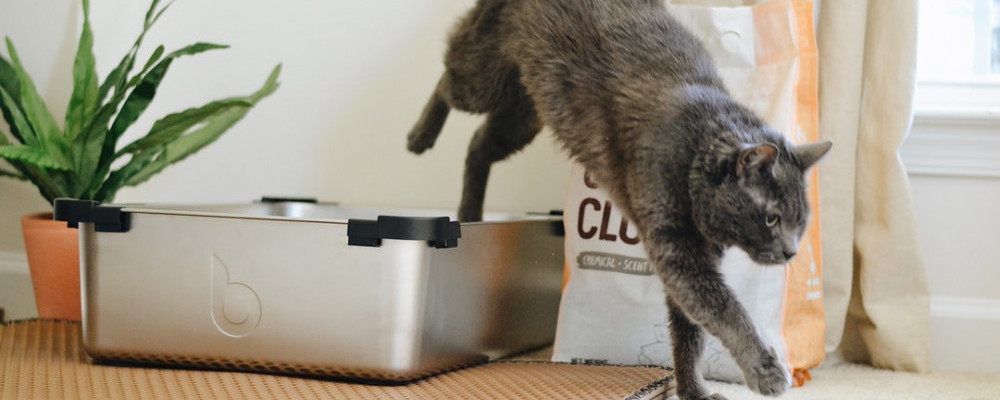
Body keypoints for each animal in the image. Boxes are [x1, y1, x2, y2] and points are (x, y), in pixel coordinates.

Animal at [402, 1, 832, 398]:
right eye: (772, 218)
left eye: (801, 224)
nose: (791, 252)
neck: (694, 157)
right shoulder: (679, 253)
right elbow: (726, 312)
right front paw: (766, 371)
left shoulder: (688, 262)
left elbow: (689, 336)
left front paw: (692, 390)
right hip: (486, 78)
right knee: (448, 78)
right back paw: (419, 136)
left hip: (526, 110)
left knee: (479, 145)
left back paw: (469, 211)